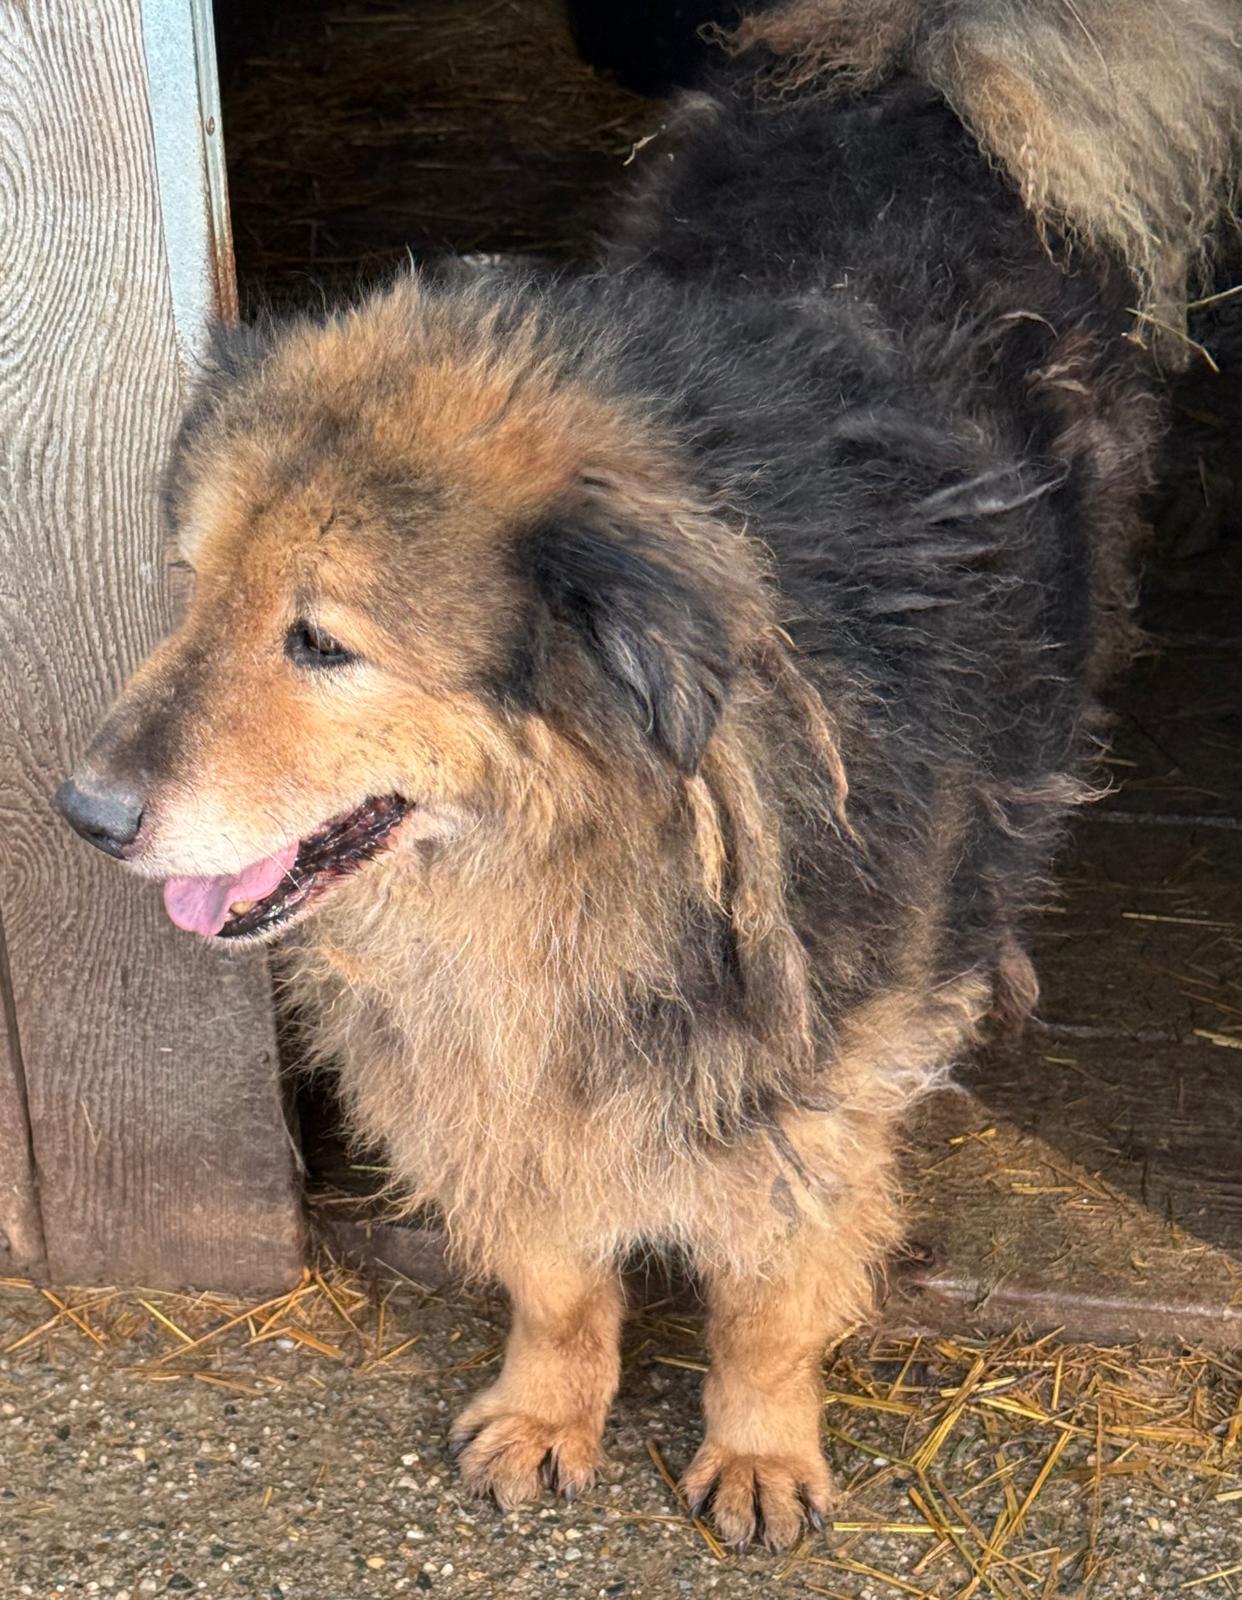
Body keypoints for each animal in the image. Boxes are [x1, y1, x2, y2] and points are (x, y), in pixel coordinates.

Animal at [56, 0, 1240, 1552]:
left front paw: (759, 1446)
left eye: (320, 641)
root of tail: (907, 72)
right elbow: (557, 1271)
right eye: (191, 587)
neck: (590, 838)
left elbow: (768, 1295)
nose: (82, 814)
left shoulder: (811, 1082)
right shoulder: (495, 1059)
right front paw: (552, 1405)